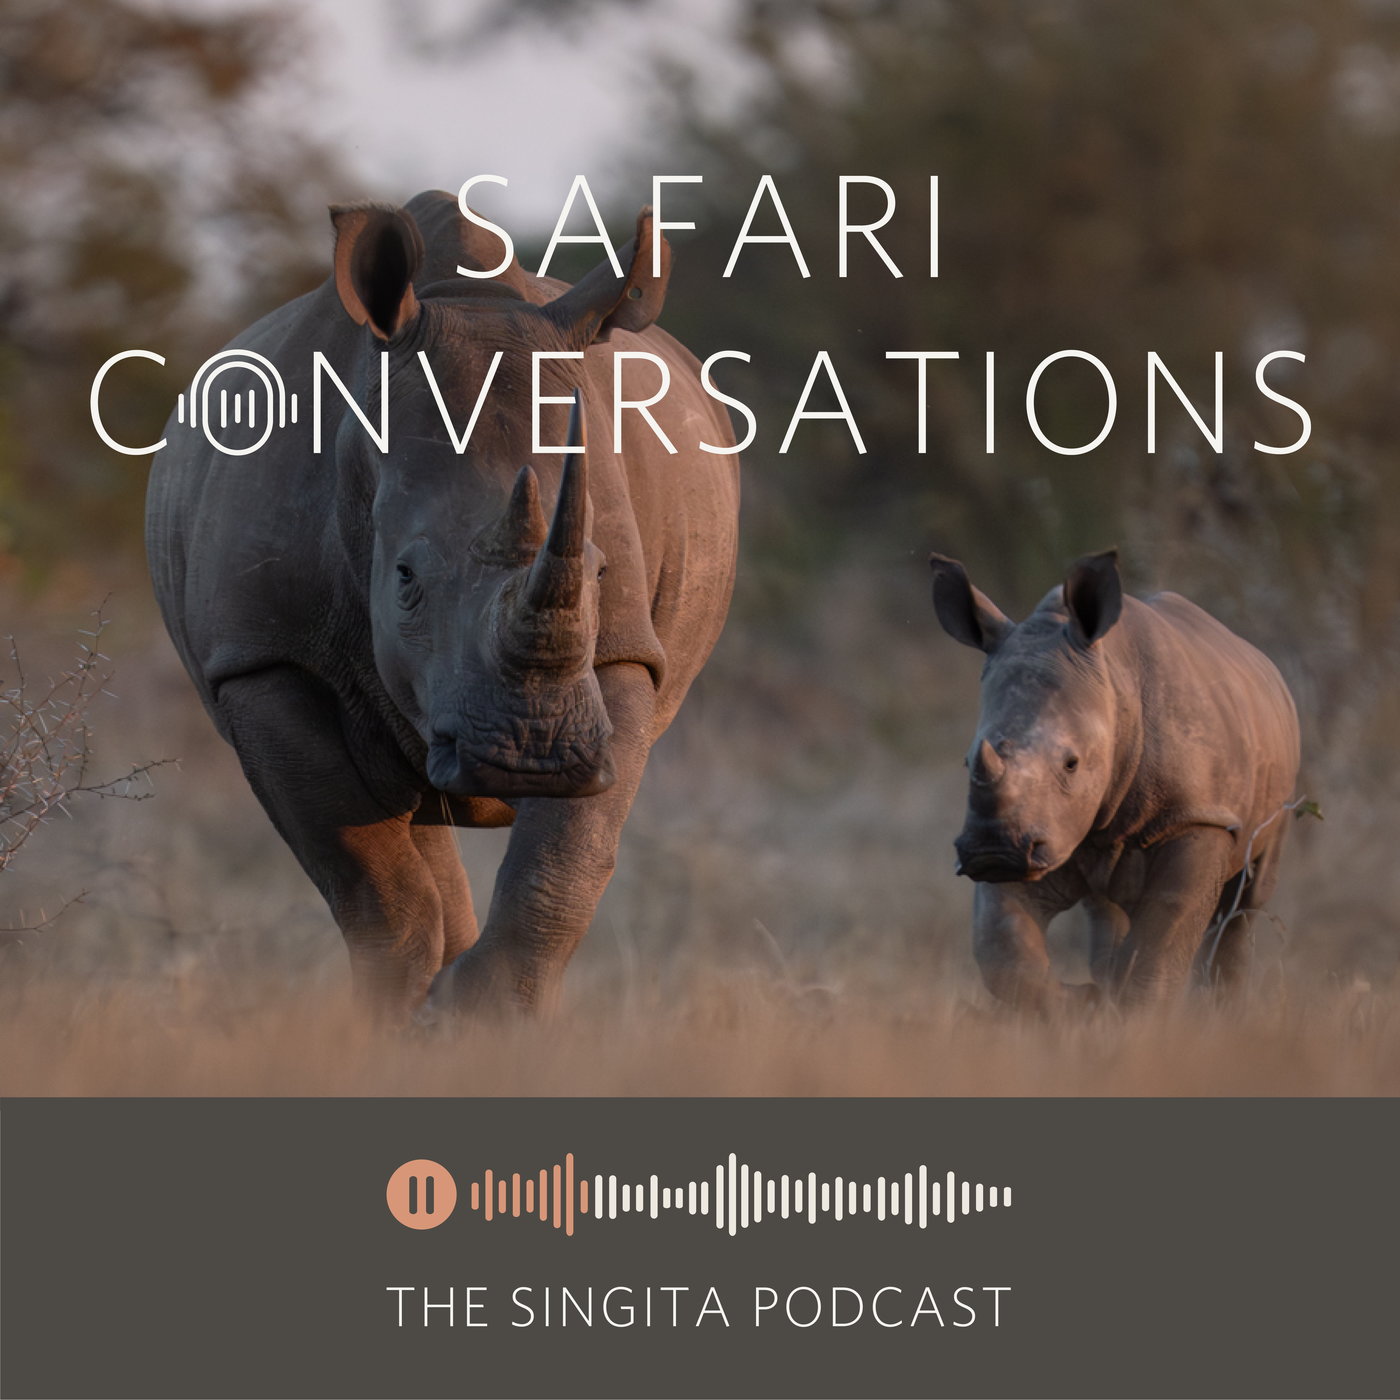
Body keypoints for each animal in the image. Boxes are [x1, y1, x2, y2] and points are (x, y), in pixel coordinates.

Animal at [146, 191, 739, 1017]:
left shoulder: (624, 654)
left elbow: (564, 863)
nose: (532, 752)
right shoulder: (261, 656)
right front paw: (408, 1019)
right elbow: (375, 886)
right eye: (403, 578)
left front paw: (478, 1018)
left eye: (599, 572)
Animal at [929, 549, 1301, 1009]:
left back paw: (1220, 1007)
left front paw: (1134, 1014)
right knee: (1106, 905)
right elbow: (1004, 949)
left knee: (1246, 899)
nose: (991, 850)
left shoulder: (1199, 817)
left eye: (1071, 763)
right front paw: (1084, 1003)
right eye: (967, 762)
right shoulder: (1040, 825)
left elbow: (1161, 941)